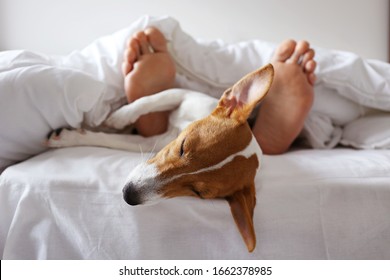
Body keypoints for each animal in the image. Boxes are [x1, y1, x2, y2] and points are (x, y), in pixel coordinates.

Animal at [46, 63, 274, 252]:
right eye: (183, 147)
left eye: (198, 193)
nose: (129, 195)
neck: (180, 126)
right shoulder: (187, 96)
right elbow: (154, 99)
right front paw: (119, 117)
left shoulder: (152, 143)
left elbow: (114, 140)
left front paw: (69, 137)